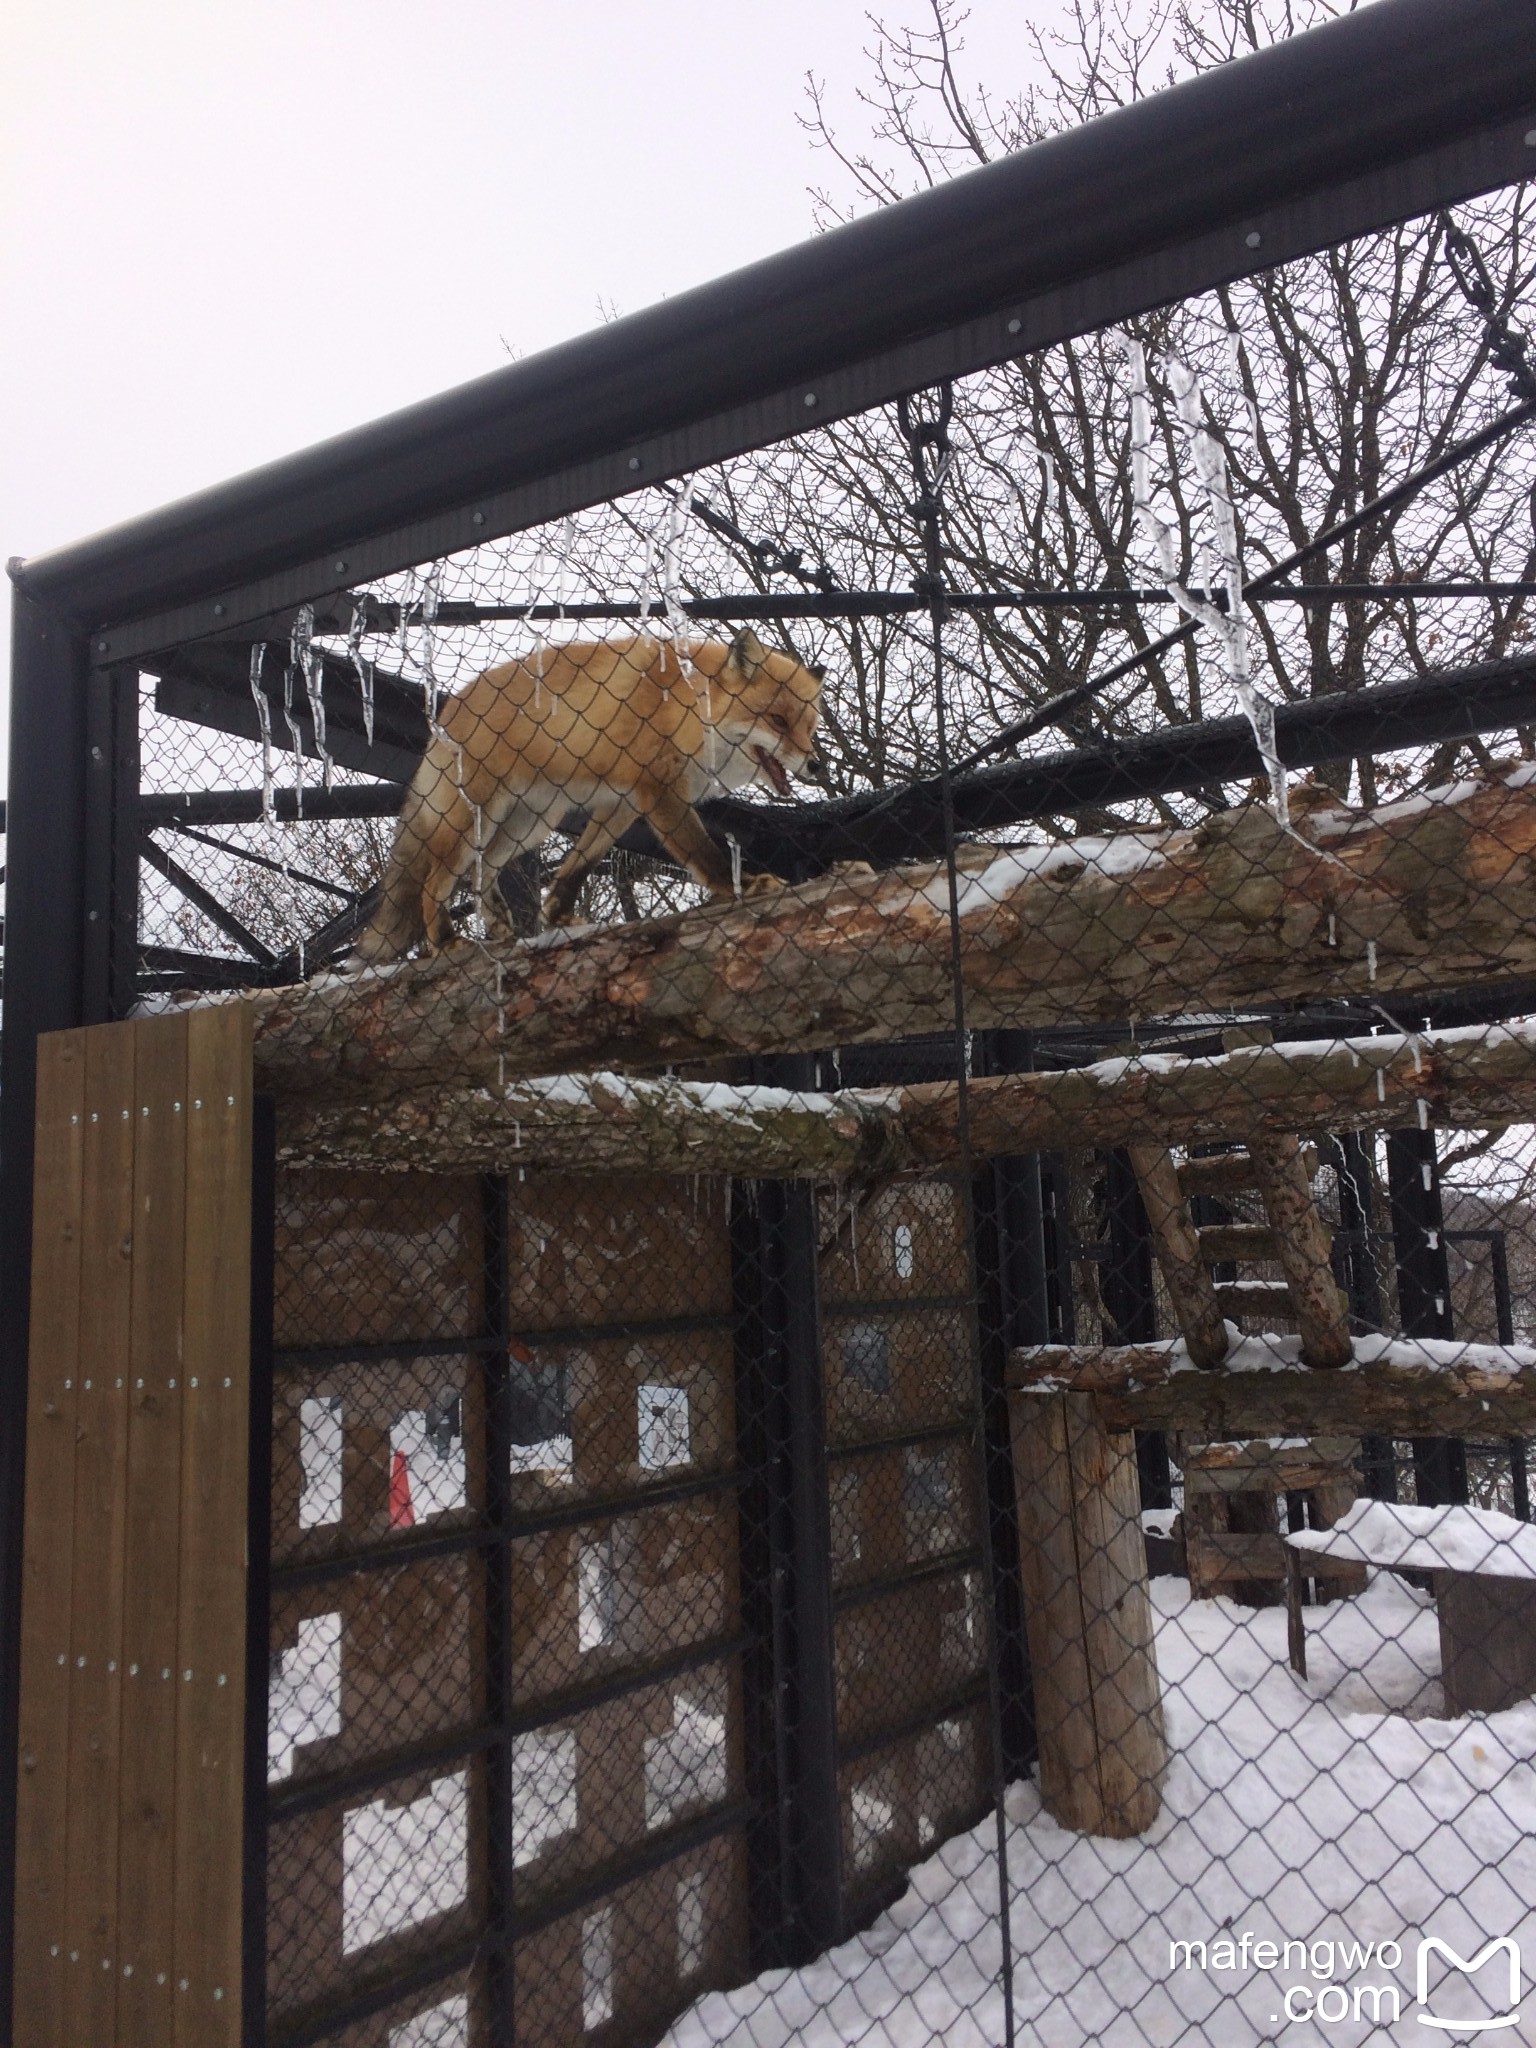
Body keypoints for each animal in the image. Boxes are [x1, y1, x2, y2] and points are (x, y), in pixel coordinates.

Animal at [354, 622, 823, 958]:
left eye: (810, 728)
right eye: (778, 721)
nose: (816, 764)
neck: (684, 707)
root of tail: (446, 712)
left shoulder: (622, 803)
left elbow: (578, 865)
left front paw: (557, 915)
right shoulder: (659, 793)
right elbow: (703, 852)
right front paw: (742, 886)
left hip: (528, 825)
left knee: (482, 870)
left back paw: (499, 925)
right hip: (473, 823)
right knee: (433, 883)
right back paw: (444, 942)